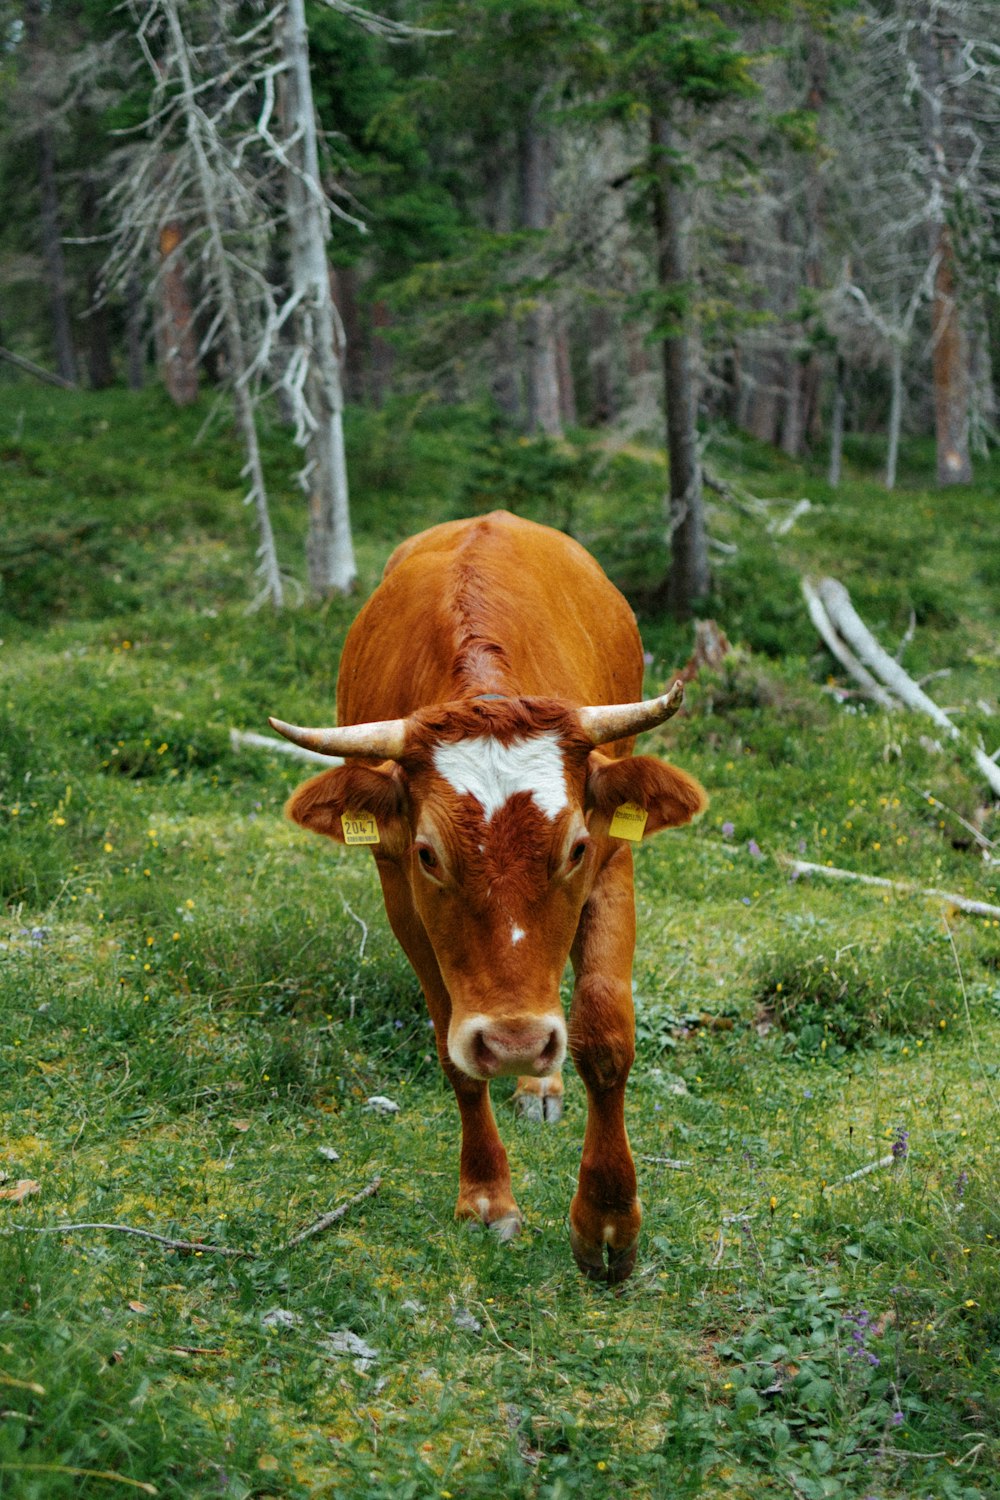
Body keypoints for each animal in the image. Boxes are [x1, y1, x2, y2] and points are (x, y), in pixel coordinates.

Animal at [269, 513, 707, 1278]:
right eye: (428, 854)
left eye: (576, 847)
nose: (515, 1042)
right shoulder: (400, 894)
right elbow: (454, 1053)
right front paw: (486, 1197)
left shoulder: (615, 857)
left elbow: (603, 1034)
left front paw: (607, 1223)